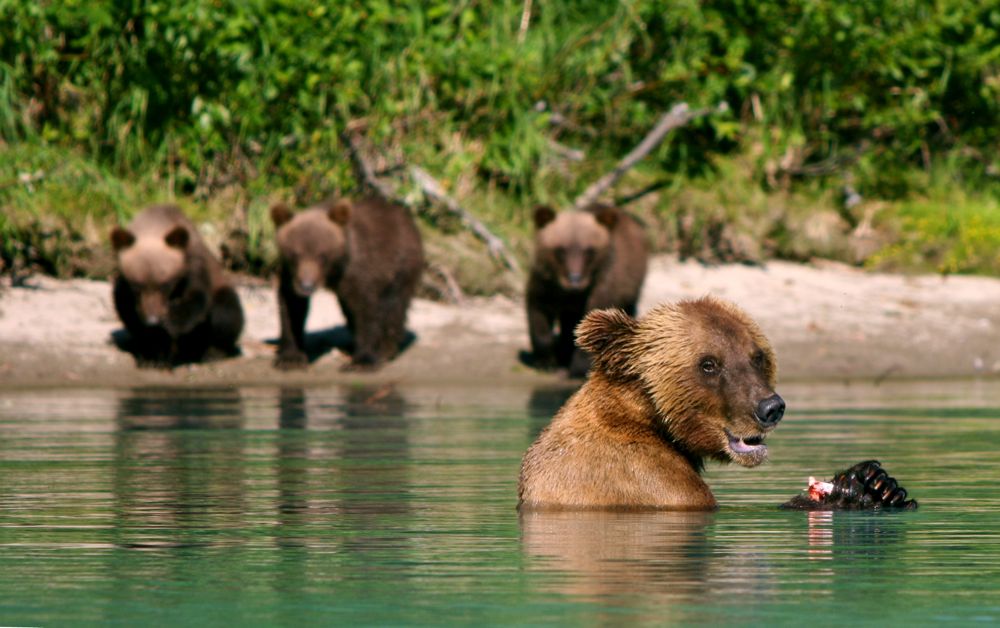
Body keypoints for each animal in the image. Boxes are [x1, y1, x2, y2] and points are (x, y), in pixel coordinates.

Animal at [111, 204, 244, 366]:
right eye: (137, 286)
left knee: (226, 313)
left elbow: (196, 299)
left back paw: (212, 352)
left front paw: (172, 322)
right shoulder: (125, 286)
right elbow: (128, 310)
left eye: (165, 285)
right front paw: (152, 353)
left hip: (221, 290)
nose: (153, 321)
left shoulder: (192, 266)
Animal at [270, 196, 422, 370]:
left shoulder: (359, 269)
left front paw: (363, 360)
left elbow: (365, 308)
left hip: (401, 266)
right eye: (294, 255)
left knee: (394, 305)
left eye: (322, 255)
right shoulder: (290, 275)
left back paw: (385, 349)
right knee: (349, 309)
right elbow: (292, 307)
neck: (334, 270)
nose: (306, 286)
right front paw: (290, 358)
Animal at [524, 204, 648, 378]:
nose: (575, 280)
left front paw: (578, 368)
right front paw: (546, 362)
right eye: (560, 250)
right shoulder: (545, 284)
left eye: (589, 251)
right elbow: (539, 314)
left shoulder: (602, 288)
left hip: (631, 285)